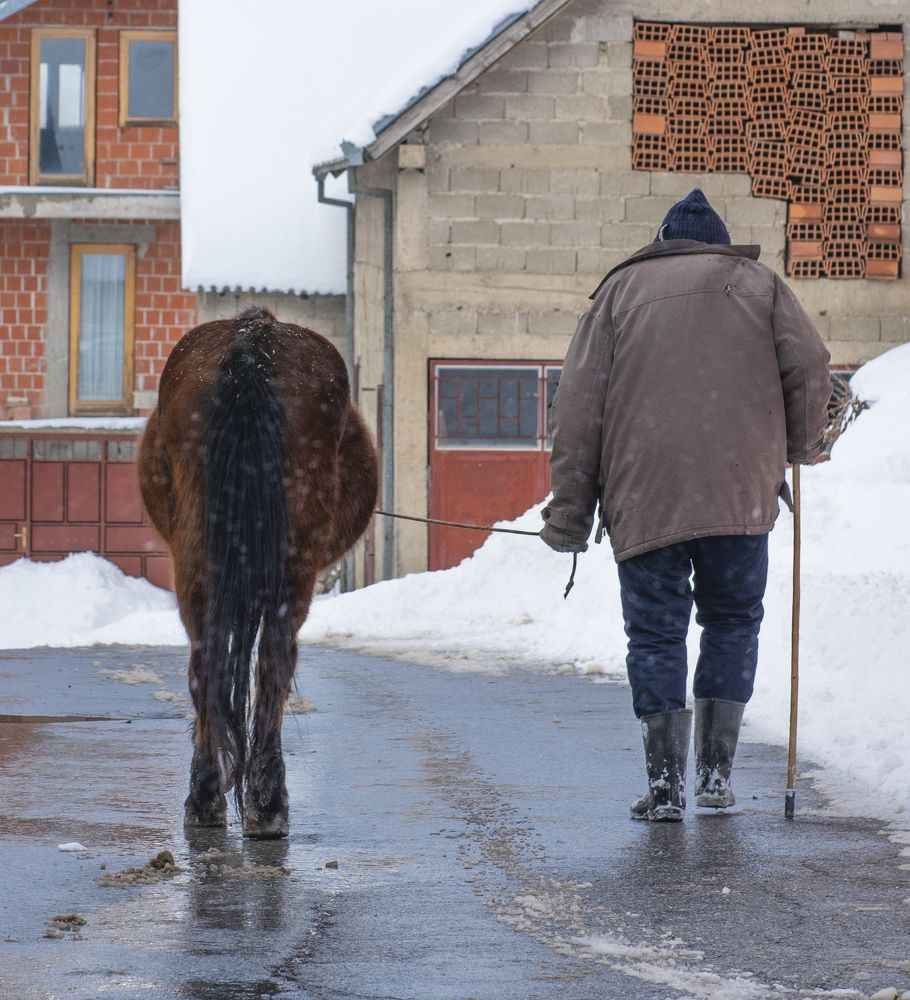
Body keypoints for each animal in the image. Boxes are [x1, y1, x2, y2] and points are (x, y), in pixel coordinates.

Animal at [138, 307, 378, 838]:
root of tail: (252, 346)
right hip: (293, 571)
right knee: (274, 662)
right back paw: (267, 804)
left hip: (195, 561)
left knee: (208, 659)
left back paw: (208, 797)